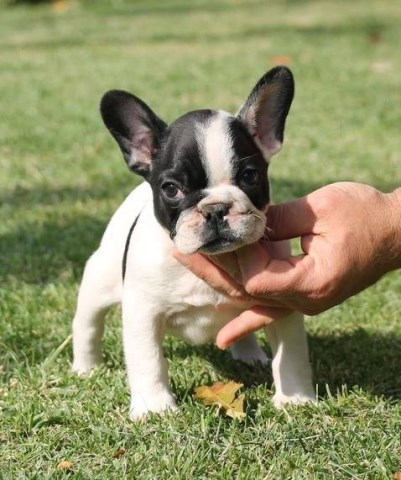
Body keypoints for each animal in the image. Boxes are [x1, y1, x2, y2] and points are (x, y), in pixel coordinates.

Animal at [72, 65, 316, 418]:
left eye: (250, 177)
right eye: (171, 189)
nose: (215, 209)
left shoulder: (281, 306)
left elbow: (291, 356)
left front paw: (295, 399)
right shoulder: (143, 314)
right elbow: (148, 361)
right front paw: (154, 408)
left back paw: (249, 356)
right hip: (98, 281)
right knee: (88, 324)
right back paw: (86, 367)